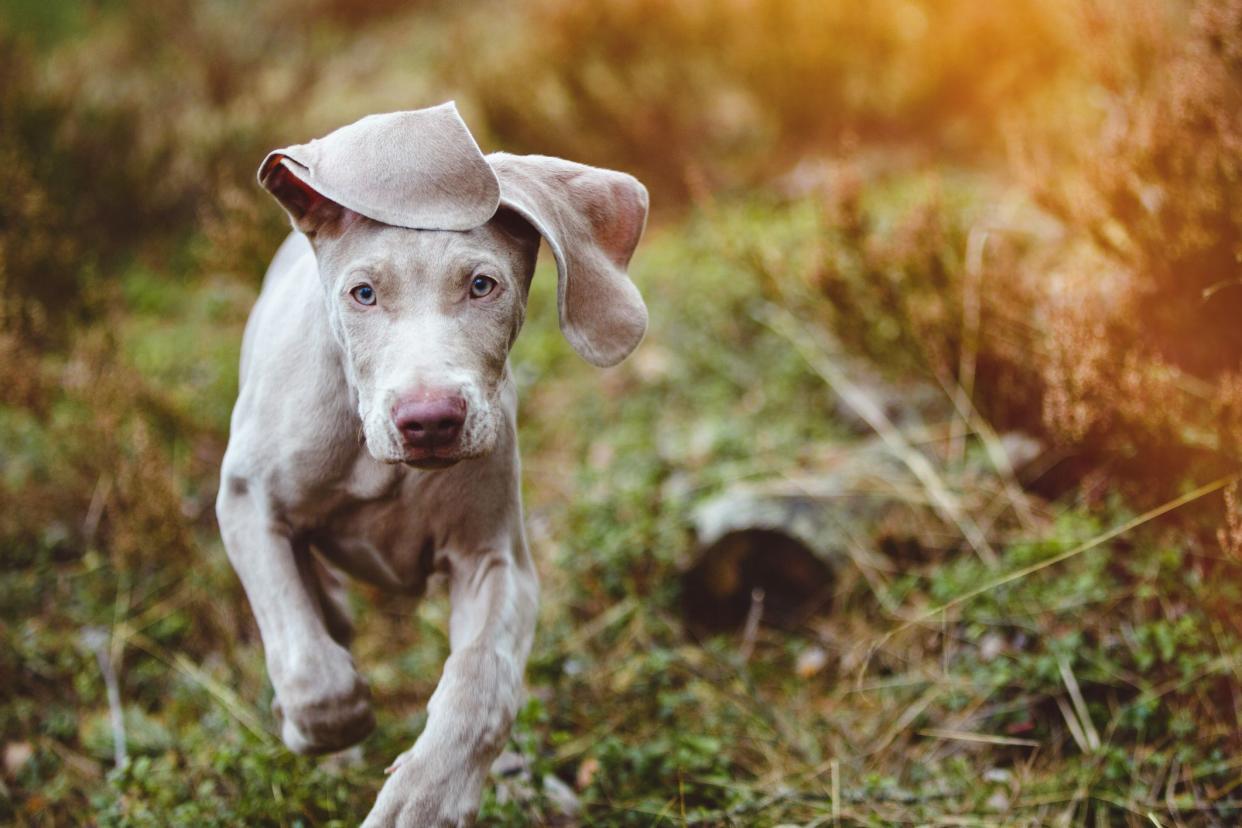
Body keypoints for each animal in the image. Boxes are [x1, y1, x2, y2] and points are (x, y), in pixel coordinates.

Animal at [218, 100, 650, 824]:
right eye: (363, 294)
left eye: (482, 285)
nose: (429, 421)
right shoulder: (248, 502)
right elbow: (311, 666)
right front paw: (321, 727)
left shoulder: (494, 558)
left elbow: (482, 684)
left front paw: (424, 800)